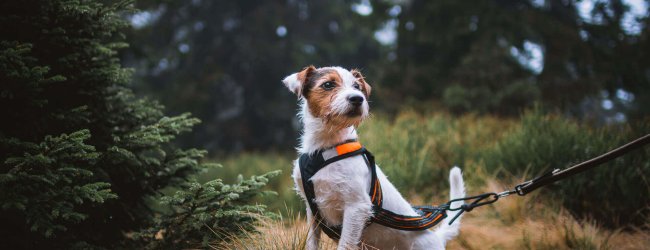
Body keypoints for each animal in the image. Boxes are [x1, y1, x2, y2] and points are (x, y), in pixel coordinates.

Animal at [280, 65, 464, 249]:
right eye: (328, 84)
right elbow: (311, 242)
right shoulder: (313, 211)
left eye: (357, 86)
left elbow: (345, 244)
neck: (326, 147)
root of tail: (437, 238)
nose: (357, 98)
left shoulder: (356, 207)